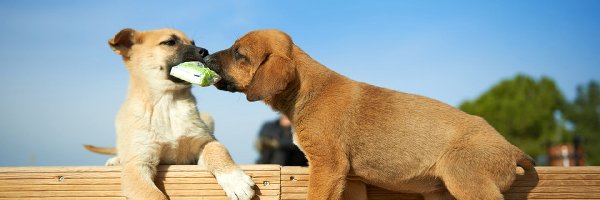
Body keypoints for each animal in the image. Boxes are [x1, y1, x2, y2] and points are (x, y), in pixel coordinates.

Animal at [87, 27, 255, 200]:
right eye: (170, 42)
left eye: (193, 42)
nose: (205, 51)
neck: (167, 104)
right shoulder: (138, 165)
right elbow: (154, 195)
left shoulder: (206, 141)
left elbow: (219, 153)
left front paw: (235, 180)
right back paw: (116, 160)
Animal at [205, 29, 536, 200]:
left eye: (238, 53)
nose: (206, 57)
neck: (306, 89)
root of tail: (511, 149)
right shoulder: (349, 179)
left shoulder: (327, 166)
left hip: (464, 176)